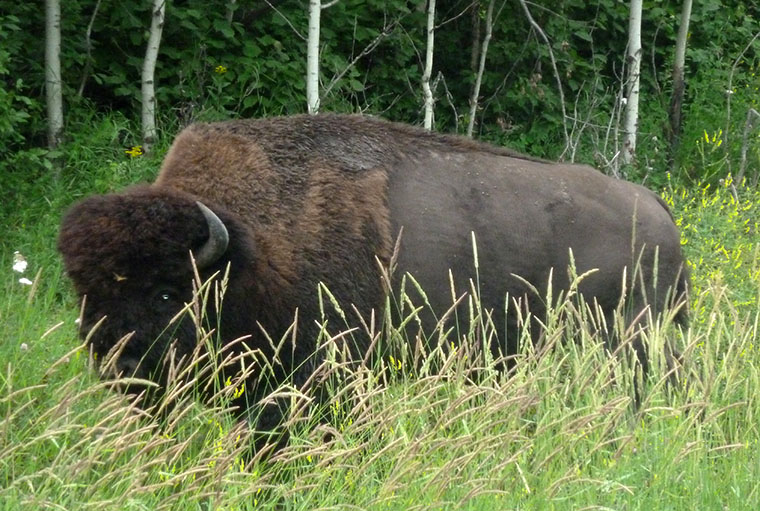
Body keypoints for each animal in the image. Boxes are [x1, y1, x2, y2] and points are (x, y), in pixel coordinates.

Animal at [59, 113, 688, 428]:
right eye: (84, 292)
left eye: (168, 293)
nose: (117, 363)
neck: (247, 247)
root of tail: (657, 210)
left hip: (638, 345)